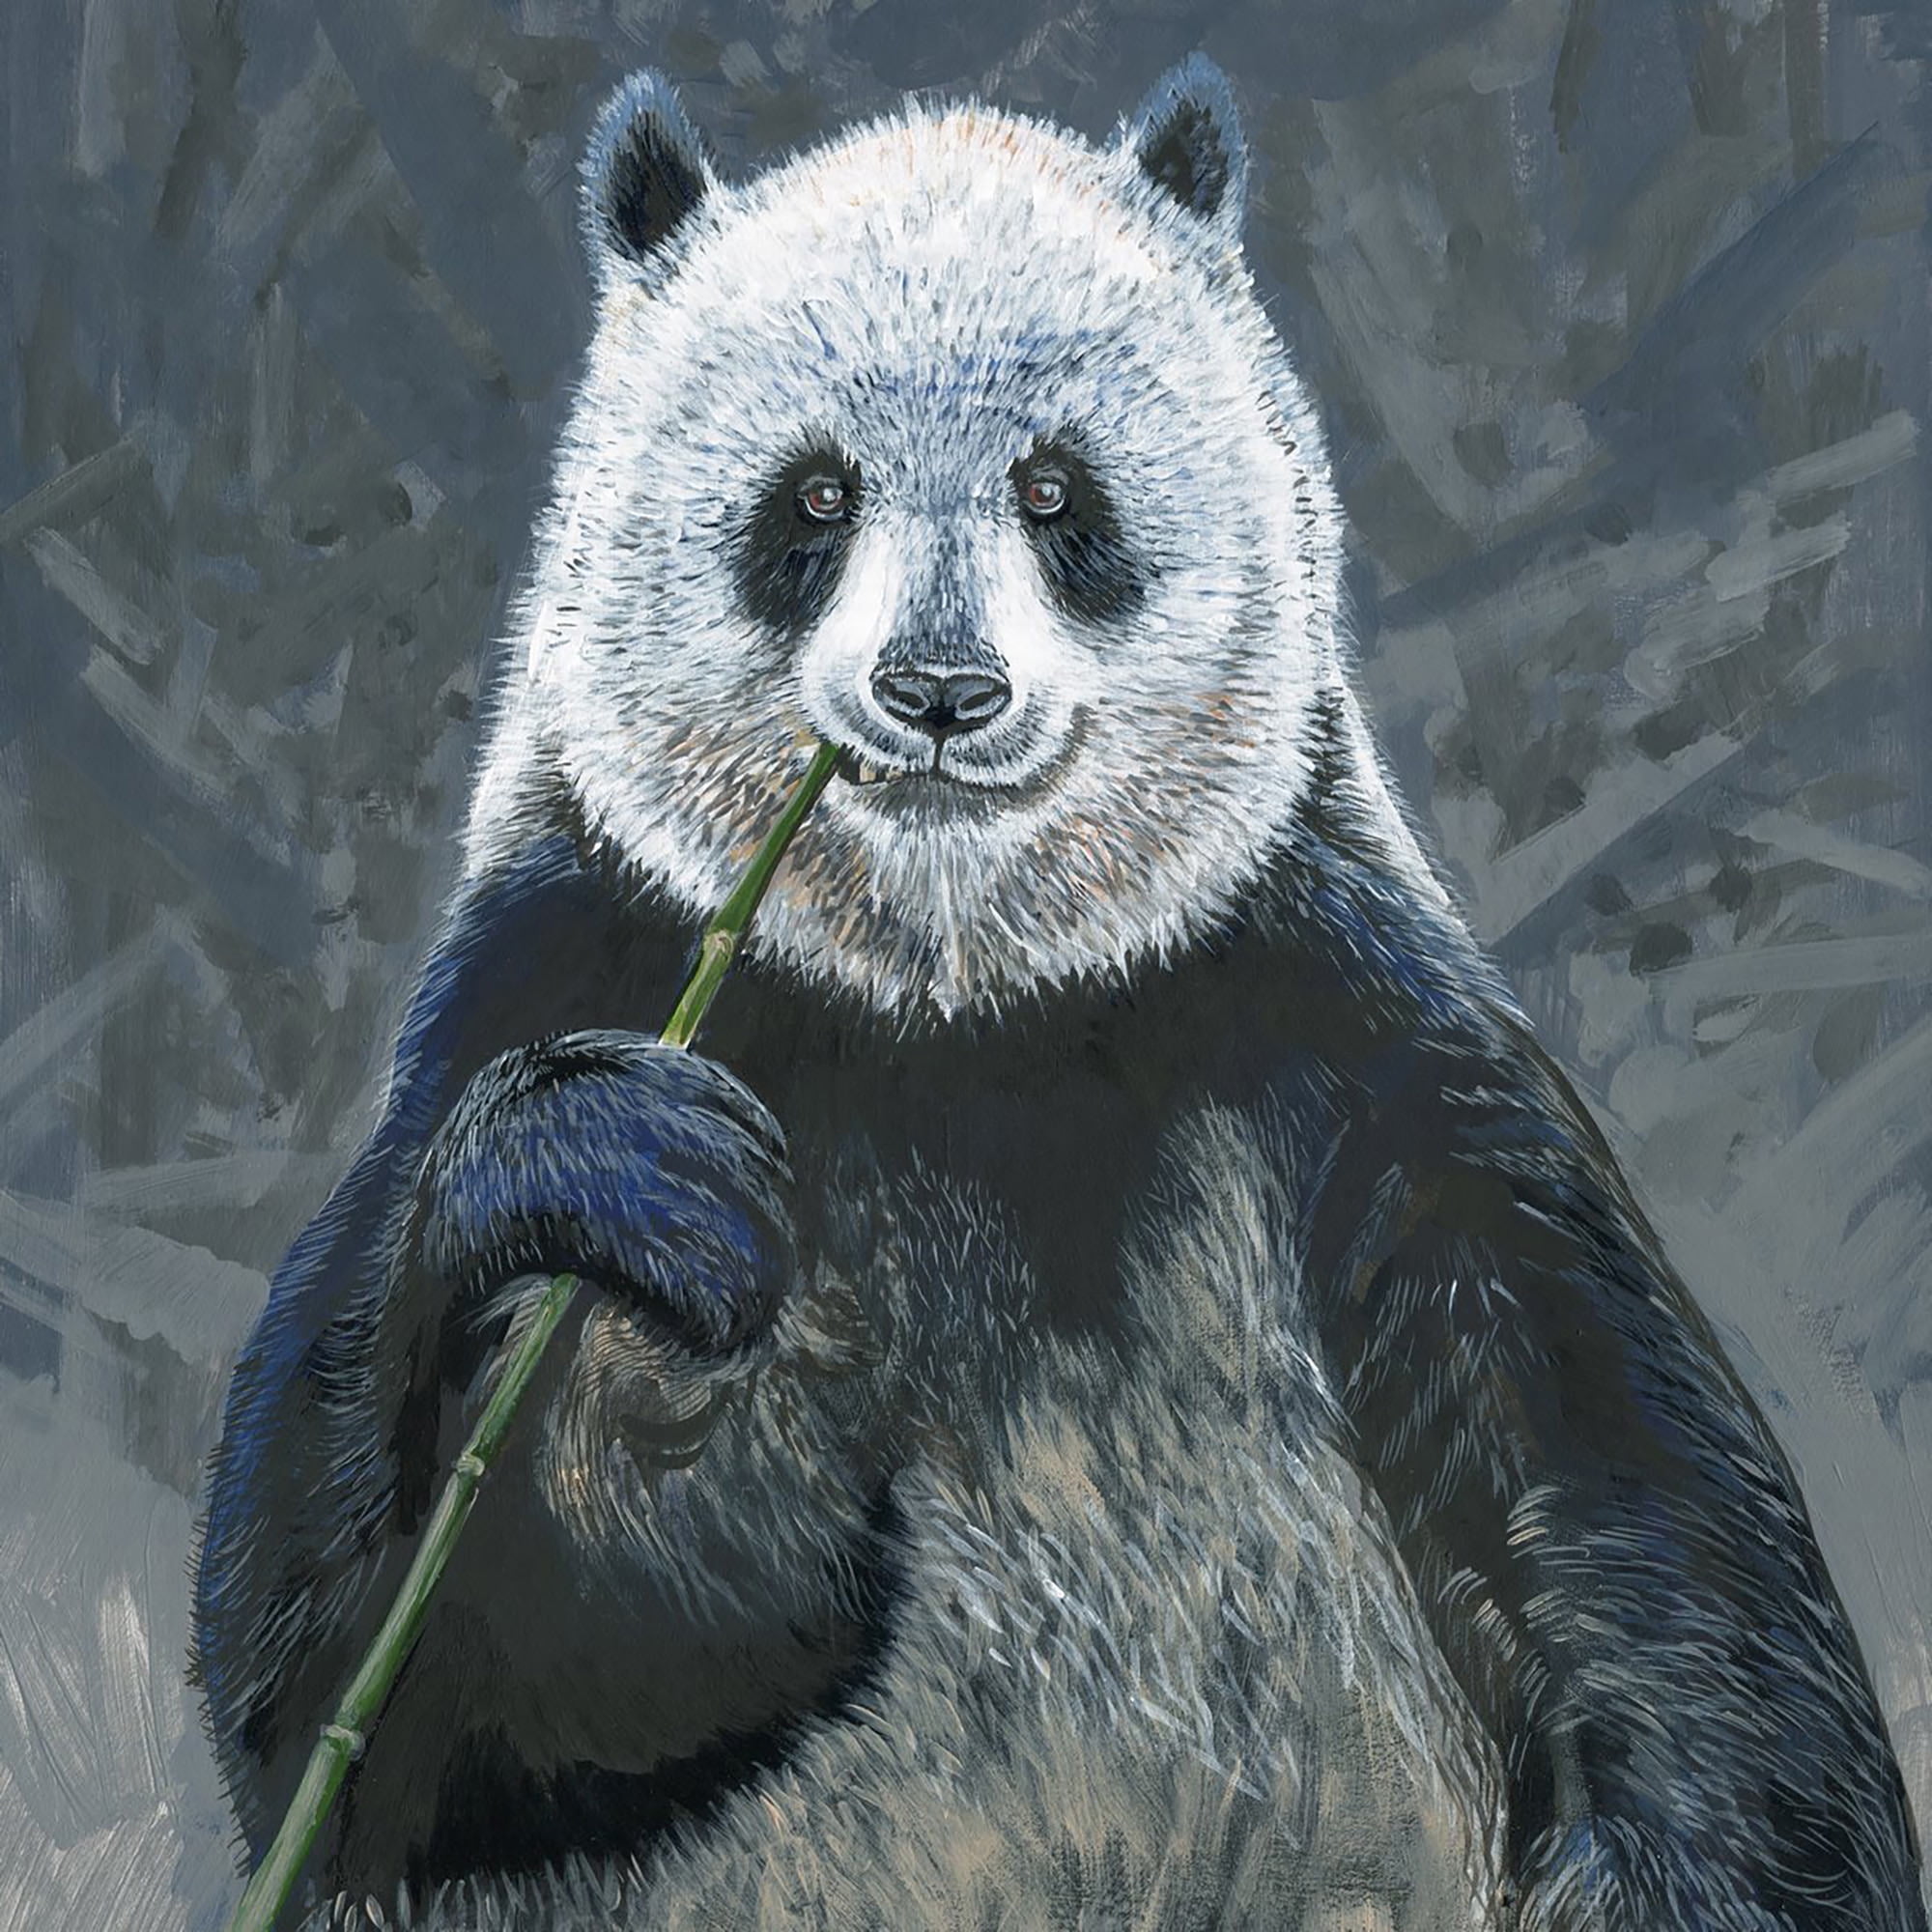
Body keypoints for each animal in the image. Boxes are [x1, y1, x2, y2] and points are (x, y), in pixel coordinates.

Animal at [192, 58, 1928, 1932]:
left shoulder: (1341, 1026)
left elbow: (1641, 1544)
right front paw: (641, 1239)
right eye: (813, 501)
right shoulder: (589, 944)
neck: (961, 1004)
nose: (940, 690)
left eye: (1053, 492)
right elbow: (396, 1701)